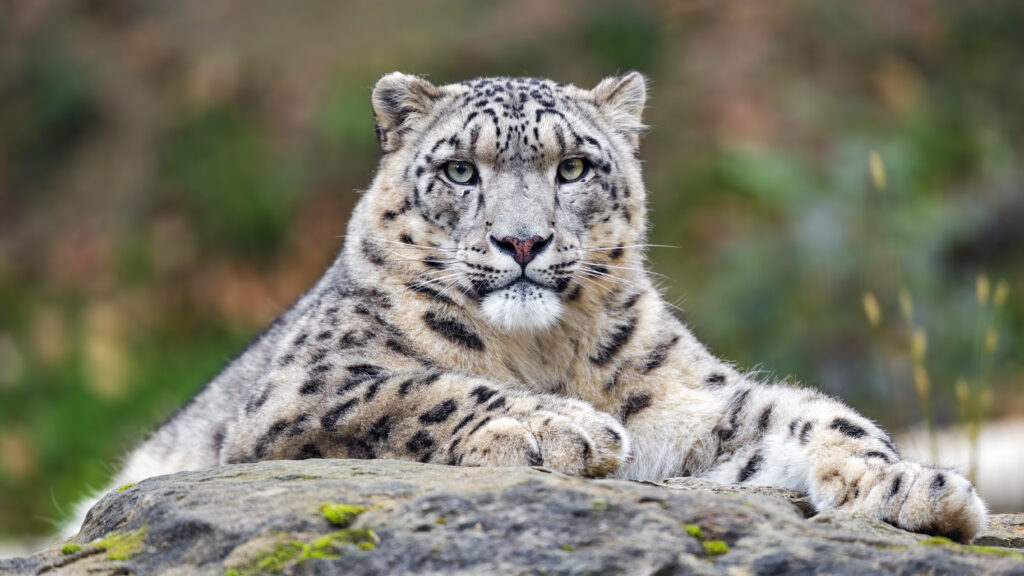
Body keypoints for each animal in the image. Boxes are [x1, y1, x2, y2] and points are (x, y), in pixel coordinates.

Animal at [68, 72, 987, 543]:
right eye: (460, 170)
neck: (542, 351)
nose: (521, 242)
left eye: (574, 167)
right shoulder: (312, 386)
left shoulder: (693, 409)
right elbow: (422, 387)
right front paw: (563, 427)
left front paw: (913, 483)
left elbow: (808, 415)